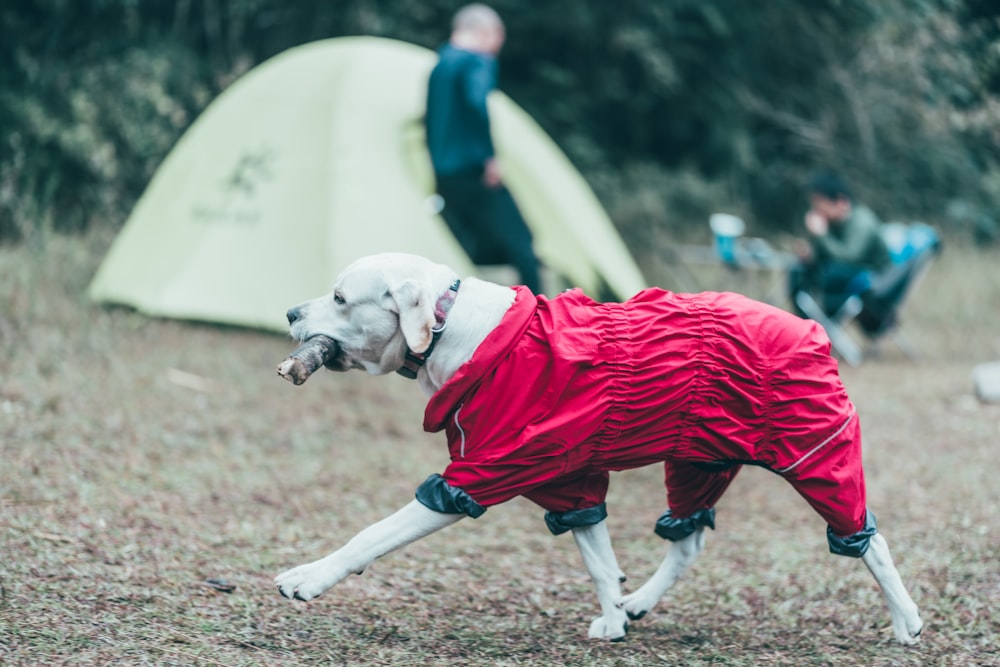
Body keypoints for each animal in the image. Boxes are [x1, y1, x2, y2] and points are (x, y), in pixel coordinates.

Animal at [272, 253, 920, 644]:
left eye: (340, 298)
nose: (289, 311)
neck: (456, 330)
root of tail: (810, 327)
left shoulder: (475, 478)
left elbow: (372, 535)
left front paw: (310, 577)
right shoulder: (567, 480)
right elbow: (600, 559)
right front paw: (614, 618)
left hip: (815, 453)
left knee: (869, 539)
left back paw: (906, 620)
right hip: (697, 462)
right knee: (687, 540)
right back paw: (639, 604)